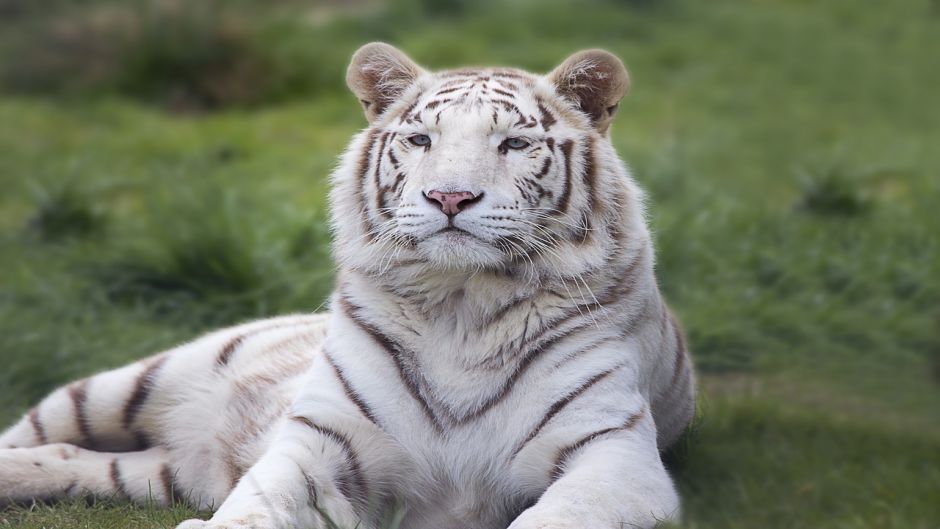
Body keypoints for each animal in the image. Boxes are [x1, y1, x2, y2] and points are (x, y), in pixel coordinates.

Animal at [0, 43, 695, 529]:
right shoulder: (323, 439)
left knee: (75, 462)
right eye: (420, 139)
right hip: (128, 385)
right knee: (33, 432)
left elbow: (558, 515)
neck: (462, 304)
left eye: (515, 143)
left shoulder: (613, 457)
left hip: (157, 471)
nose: (449, 197)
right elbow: (261, 498)